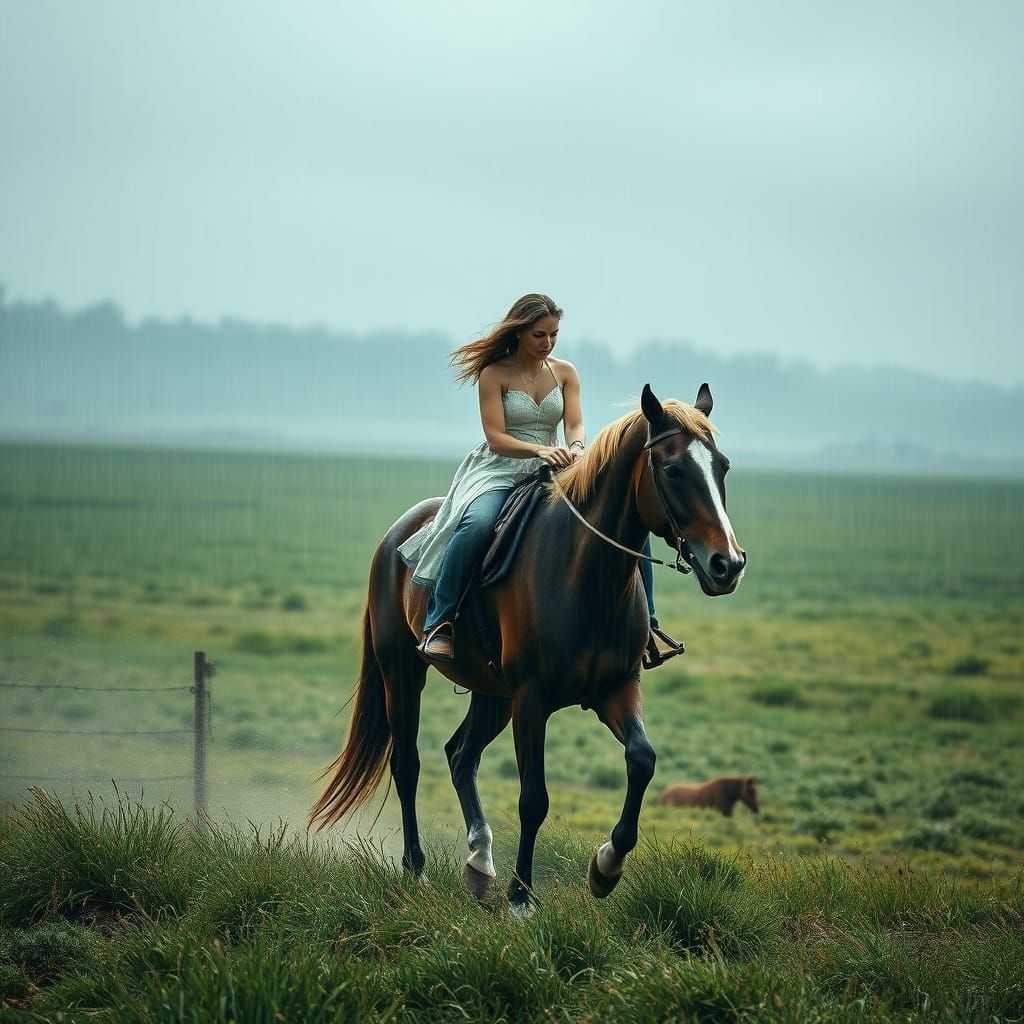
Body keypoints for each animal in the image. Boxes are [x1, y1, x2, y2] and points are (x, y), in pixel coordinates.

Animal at [309, 383, 746, 917]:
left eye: (722, 466)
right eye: (674, 469)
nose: (728, 564)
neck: (587, 575)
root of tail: (396, 533)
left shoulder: (616, 689)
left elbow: (642, 759)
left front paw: (605, 867)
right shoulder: (532, 699)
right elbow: (533, 798)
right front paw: (521, 897)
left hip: (491, 693)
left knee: (460, 755)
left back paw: (479, 863)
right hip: (403, 673)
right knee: (407, 764)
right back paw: (417, 871)